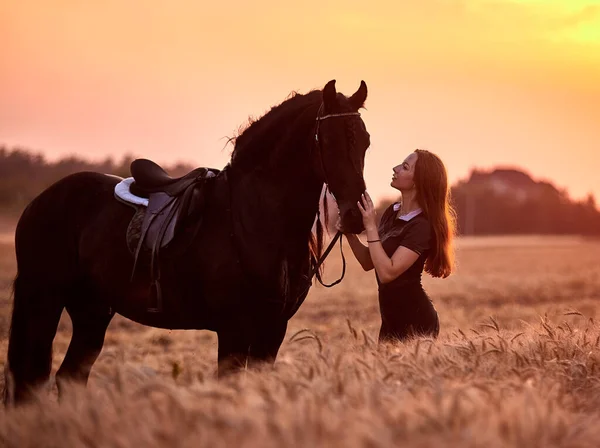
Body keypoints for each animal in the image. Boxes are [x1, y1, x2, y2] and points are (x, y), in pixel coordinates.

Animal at [3, 79, 370, 404]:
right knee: (30, 381)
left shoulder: (273, 329)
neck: (254, 218)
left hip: (91, 310)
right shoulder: (234, 330)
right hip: (44, 300)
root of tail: (41, 200)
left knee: (68, 378)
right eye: (329, 140)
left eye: (365, 141)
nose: (355, 216)